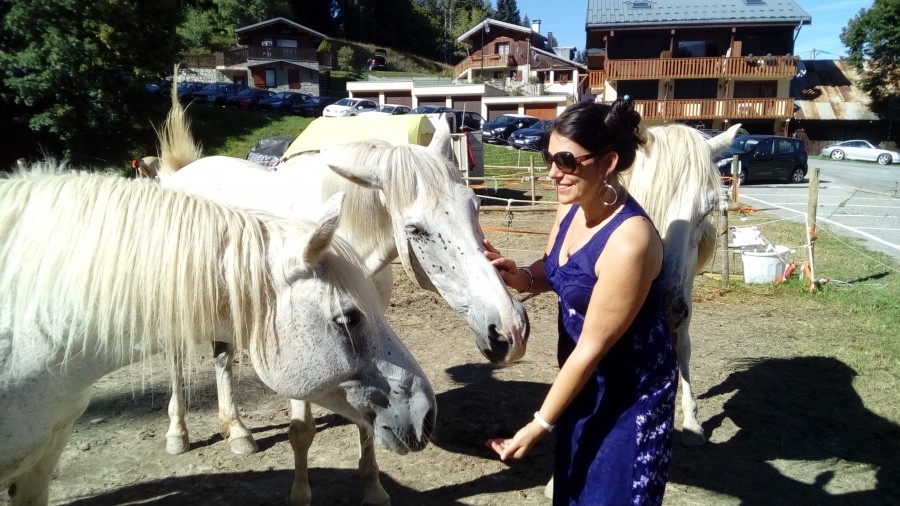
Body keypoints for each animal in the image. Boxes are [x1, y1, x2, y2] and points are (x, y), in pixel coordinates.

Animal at [157, 87, 528, 506]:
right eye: (415, 229)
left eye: (475, 207)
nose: (510, 331)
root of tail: (180, 174)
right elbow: (301, 431)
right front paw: (301, 495)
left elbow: (366, 417)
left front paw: (373, 488)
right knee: (176, 362)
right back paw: (178, 434)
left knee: (222, 358)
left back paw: (236, 431)